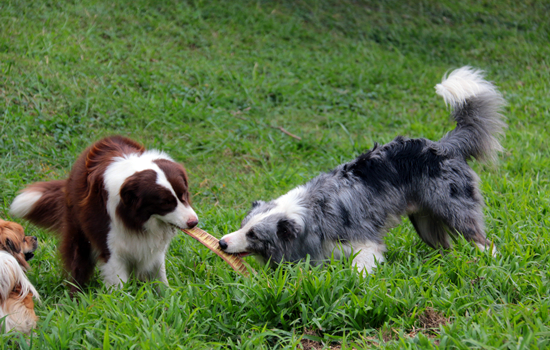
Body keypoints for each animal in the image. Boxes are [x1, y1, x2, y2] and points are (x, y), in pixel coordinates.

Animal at [9, 135, 199, 294]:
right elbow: (118, 283)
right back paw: (75, 295)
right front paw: (121, 304)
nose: (194, 222)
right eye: (165, 203)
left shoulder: (153, 248)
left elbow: (159, 276)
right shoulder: (110, 245)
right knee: (78, 260)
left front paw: (166, 297)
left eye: (184, 194)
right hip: (78, 229)